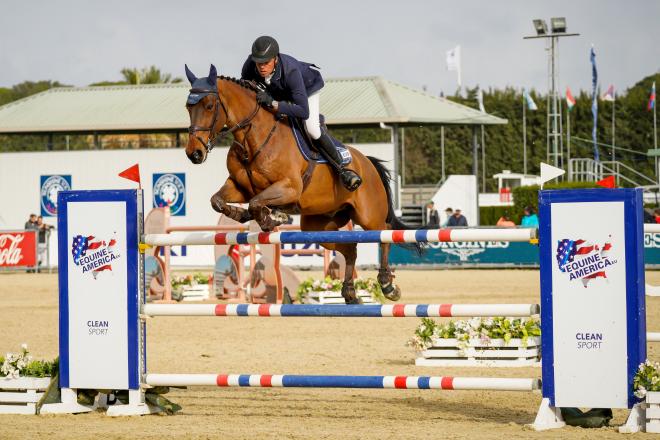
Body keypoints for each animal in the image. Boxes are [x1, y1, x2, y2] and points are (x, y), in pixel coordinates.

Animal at [183, 64, 420, 302]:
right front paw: (242, 214)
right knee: (350, 247)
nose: (194, 153)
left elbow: (257, 202)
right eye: (188, 107)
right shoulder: (240, 187)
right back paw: (350, 292)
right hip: (318, 225)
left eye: (209, 106)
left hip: (368, 215)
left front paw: (269, 219)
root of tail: (367, 162)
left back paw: (387, 285)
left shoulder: (289, 188)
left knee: (385, 232)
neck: (253, 138)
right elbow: (218, 201)